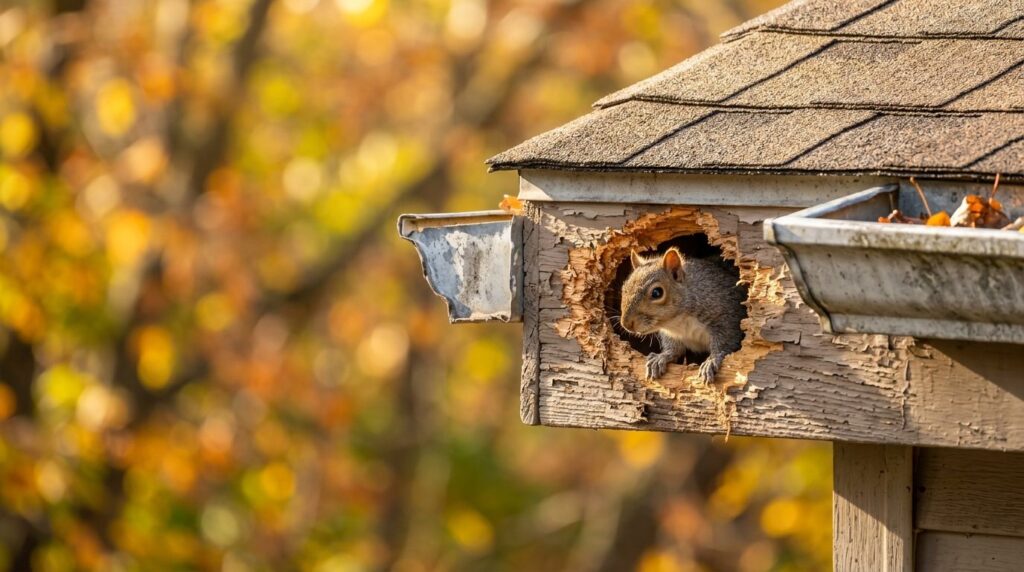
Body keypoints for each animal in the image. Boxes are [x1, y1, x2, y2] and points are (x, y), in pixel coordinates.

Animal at [619, 247, 746, 384]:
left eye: (657, 293)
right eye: (624, 288)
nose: (626, 324)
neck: (677, 321)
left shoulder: (726, 317)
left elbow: (725, 343)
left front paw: (712, 361)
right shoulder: (671, 334)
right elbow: (675, 349)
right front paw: (661, 357)